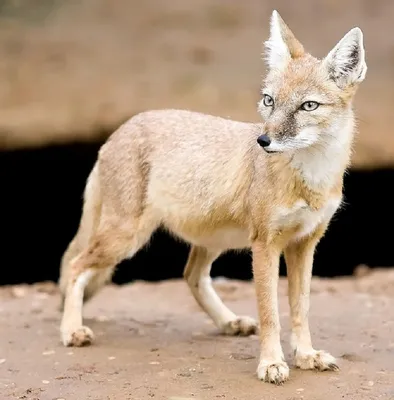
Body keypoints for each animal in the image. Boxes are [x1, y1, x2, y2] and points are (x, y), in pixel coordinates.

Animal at [57, 10, 366, 384]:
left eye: (308, 106)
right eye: (269, 101)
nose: (263, 140)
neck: (311, 179)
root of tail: (120, 129)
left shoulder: (305, 243)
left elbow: (300, 308)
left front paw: (305, 355)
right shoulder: (265, 244)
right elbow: (270, 313)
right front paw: (271, 363)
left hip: (212, 241)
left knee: (192, 276)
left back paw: (228, 322)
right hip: (126, 239)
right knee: (75, 266)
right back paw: (71, 330)